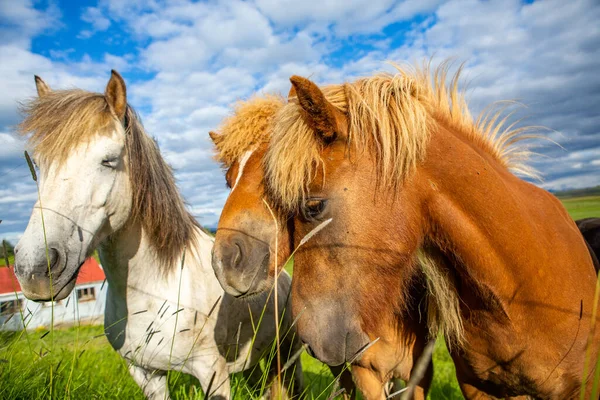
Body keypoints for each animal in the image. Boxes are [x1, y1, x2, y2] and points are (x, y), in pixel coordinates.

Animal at [12, 70, 304, 398]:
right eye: (38, 164)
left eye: (109, 160)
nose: (34, 268)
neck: (154, 290)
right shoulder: (146, 373)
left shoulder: (212, 374)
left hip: (288, 352)